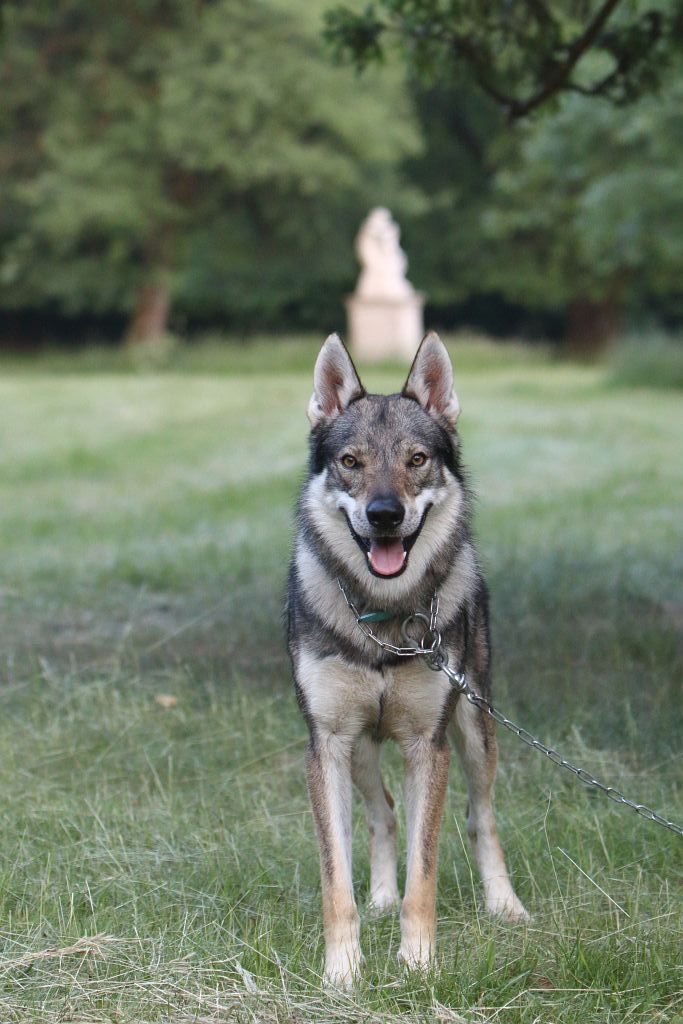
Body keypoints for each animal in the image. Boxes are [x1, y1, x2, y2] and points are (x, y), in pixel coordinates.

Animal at [286, 331, 528, 987]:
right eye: (351, 462)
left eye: (417, 459)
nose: (385, 515)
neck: (383, 622)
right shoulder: (326, 744)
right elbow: (335, 881)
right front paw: (342, 972)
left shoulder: (429, 744)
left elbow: (426, 872)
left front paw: (418, 963)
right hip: (362, 750)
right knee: (385, 813)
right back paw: (379, 899)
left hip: (475, 730)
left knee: (480, 818)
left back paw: (505, 906)